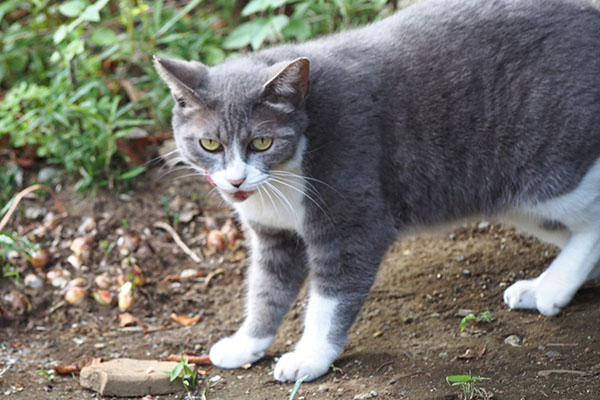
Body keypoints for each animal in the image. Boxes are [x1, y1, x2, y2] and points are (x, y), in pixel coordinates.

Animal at [155, 0, 600, 382]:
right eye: (209, 144)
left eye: (262, 143)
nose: (235, 181)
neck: (286, 173)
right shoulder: (274, 235)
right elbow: (266, 290)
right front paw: (246, 344)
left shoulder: (351, 218)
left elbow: (329, 299)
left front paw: (309, 358)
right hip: (513, 200)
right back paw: (541, 288)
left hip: (550, 173)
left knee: (592, 222)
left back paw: (552, 289)